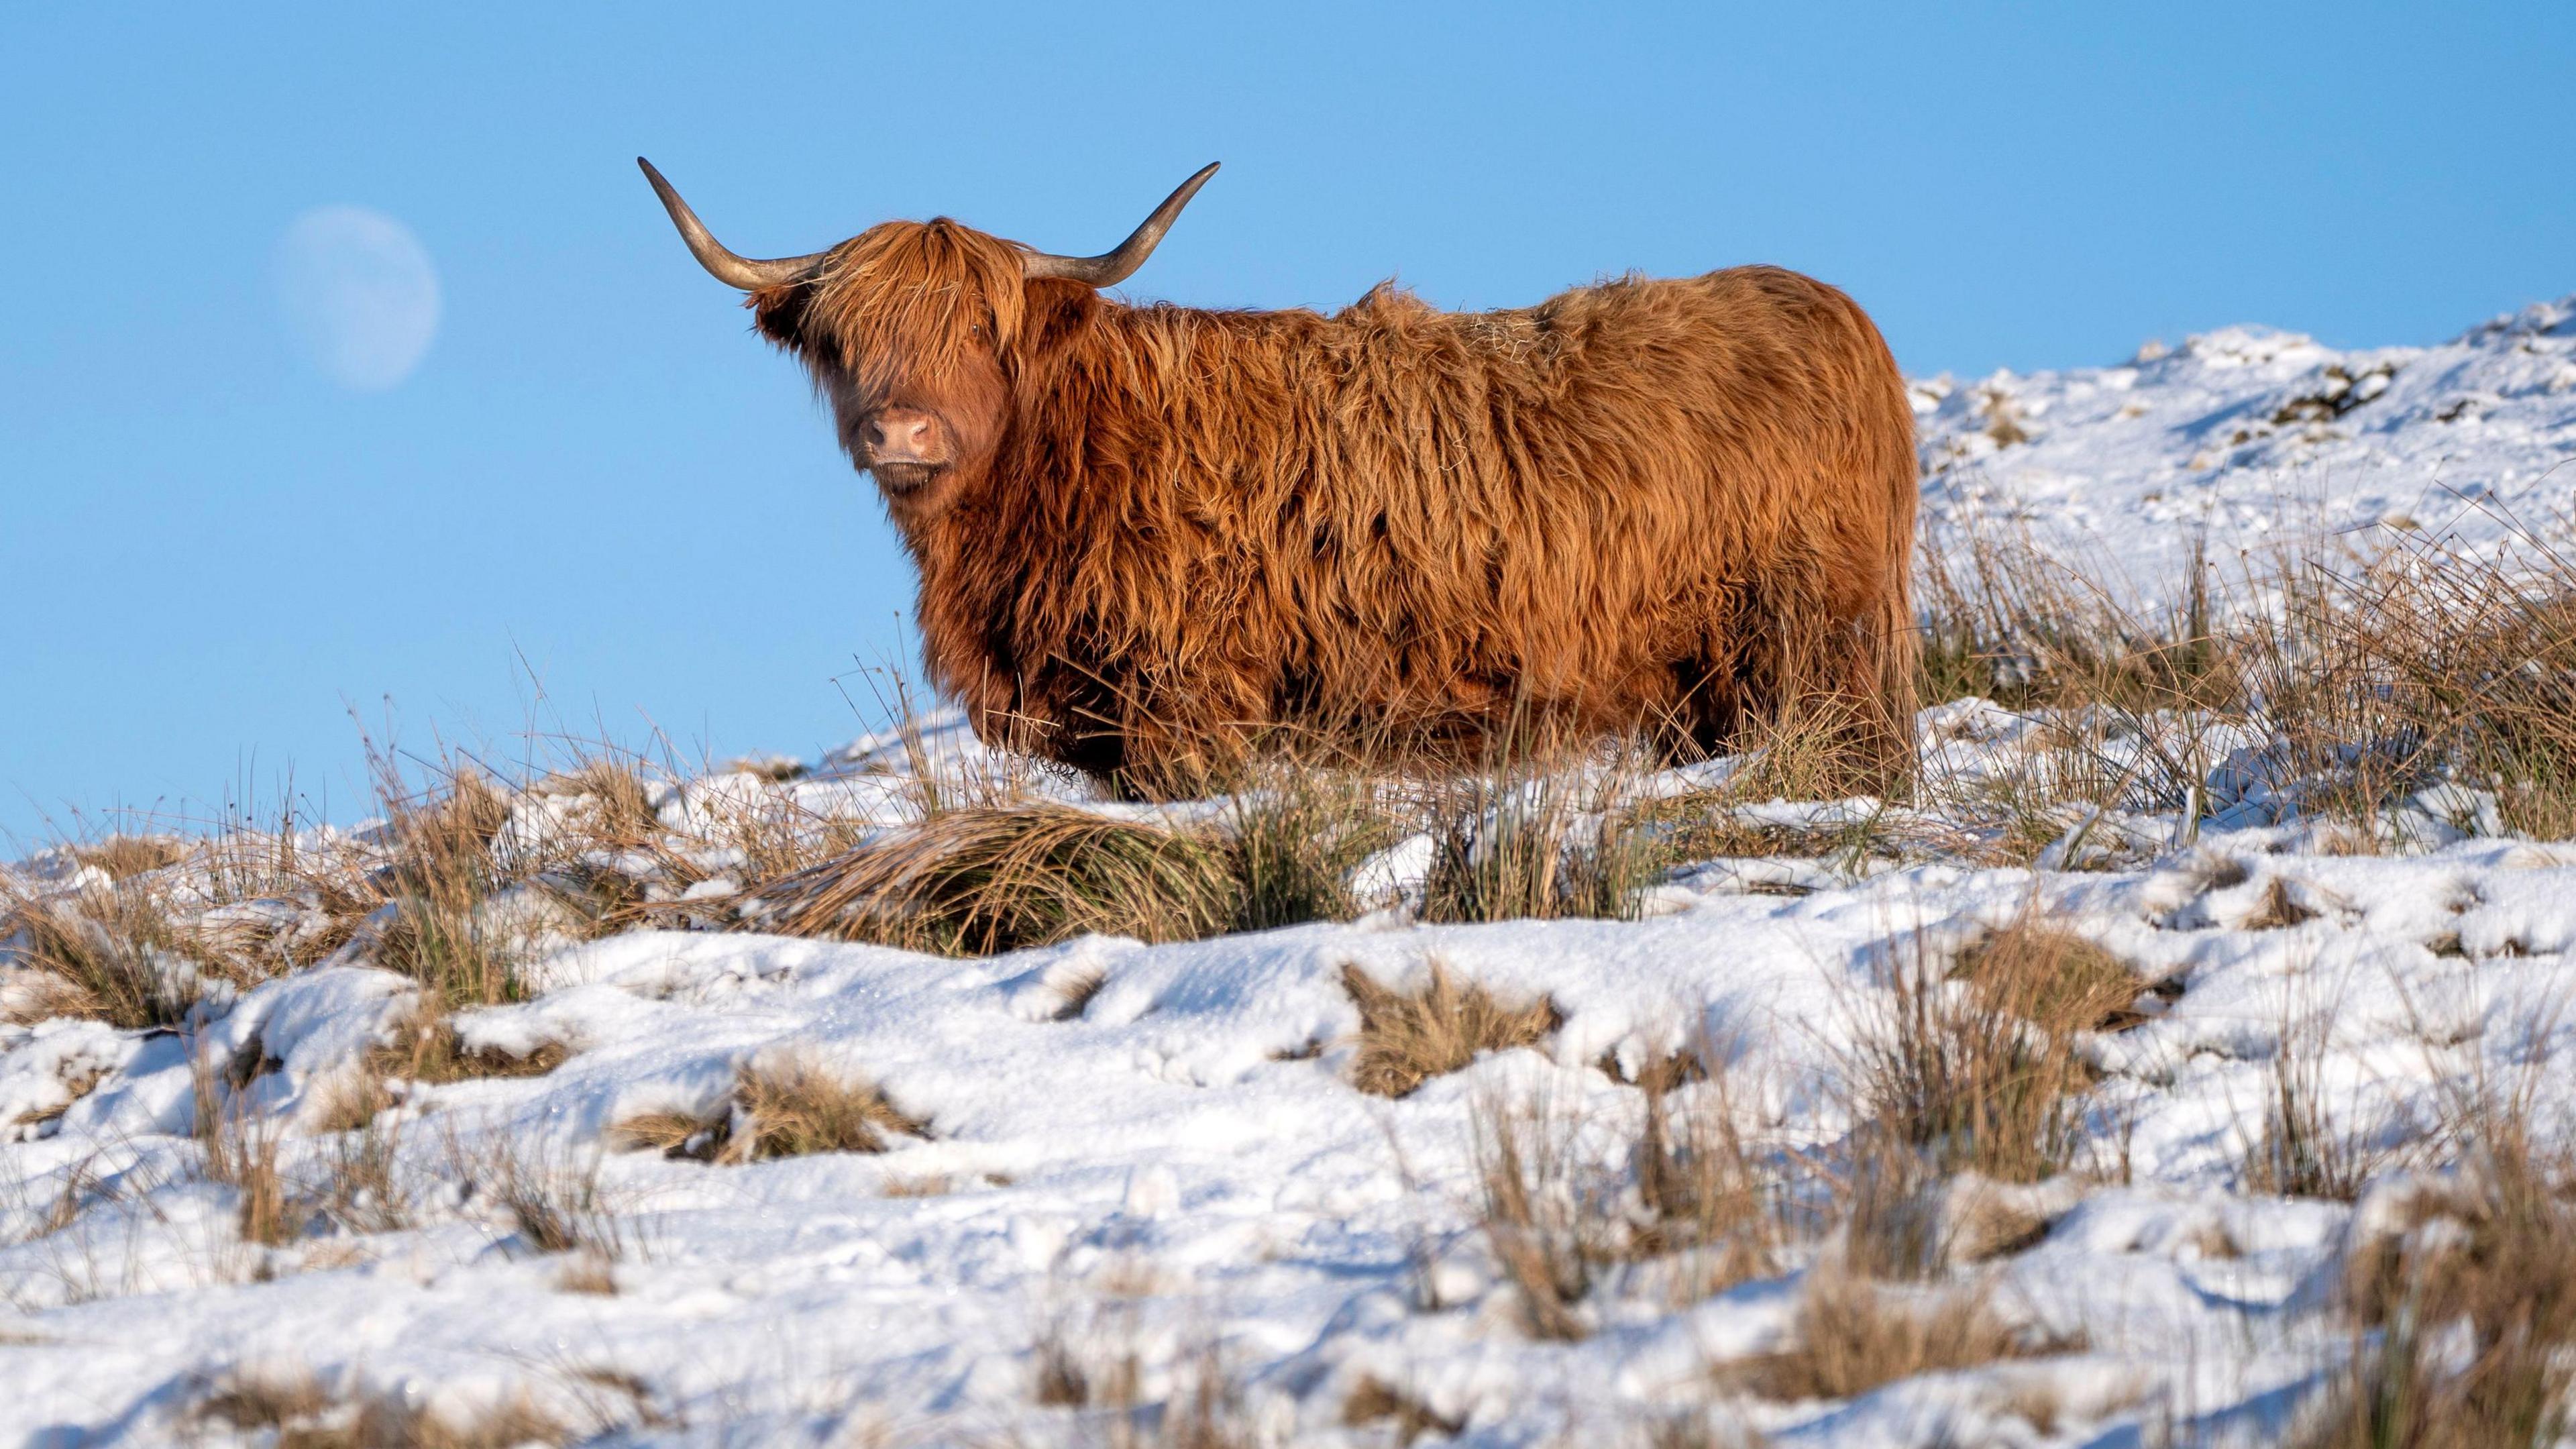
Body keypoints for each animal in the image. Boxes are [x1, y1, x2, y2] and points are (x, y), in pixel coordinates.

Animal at [641, 162, 1916, 794]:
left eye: (980, 333)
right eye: (843, 338)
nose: (900, 432)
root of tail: (1829, 309)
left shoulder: (1183, 703)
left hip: (1808, 649)